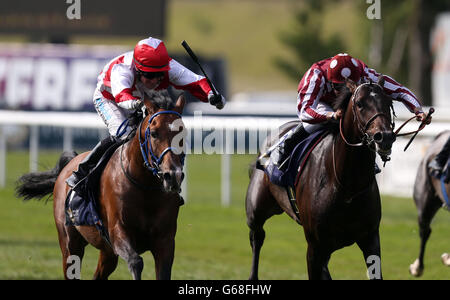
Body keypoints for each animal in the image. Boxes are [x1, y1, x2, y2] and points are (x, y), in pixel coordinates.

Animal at [16, 95, 186, 278]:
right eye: (154, 134)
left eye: (182, 132)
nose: (173, 175)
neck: (145, 188)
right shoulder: (118, 233)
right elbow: (136, 262)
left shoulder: (165, 242)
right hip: (70, 243)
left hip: (107, 251)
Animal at [246, 77, 398, 278]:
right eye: (359, 104)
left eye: (388, 102)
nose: (384, 137)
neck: (347, 185)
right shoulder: (315, 247)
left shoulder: (370, 238)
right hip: (256, 211)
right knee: (257, 237)